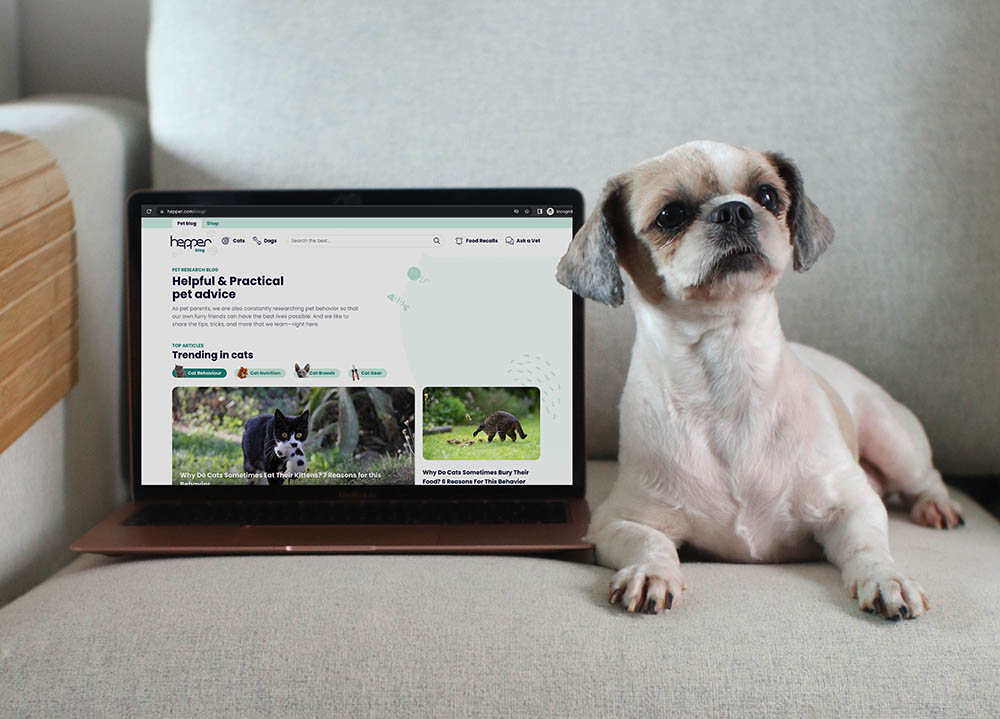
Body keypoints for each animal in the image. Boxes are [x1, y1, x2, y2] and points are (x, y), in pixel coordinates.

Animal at [560, 141, 964, 620]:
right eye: (670, 215)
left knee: (926, 476)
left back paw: (936, 505)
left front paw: (886, 579)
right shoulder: (620, 519)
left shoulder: (853, 503)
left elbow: (867, 548)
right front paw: (650, 572)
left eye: (768, 196)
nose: (734, 210)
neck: (728, 368)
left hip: (892, 437)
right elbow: (650, 542)